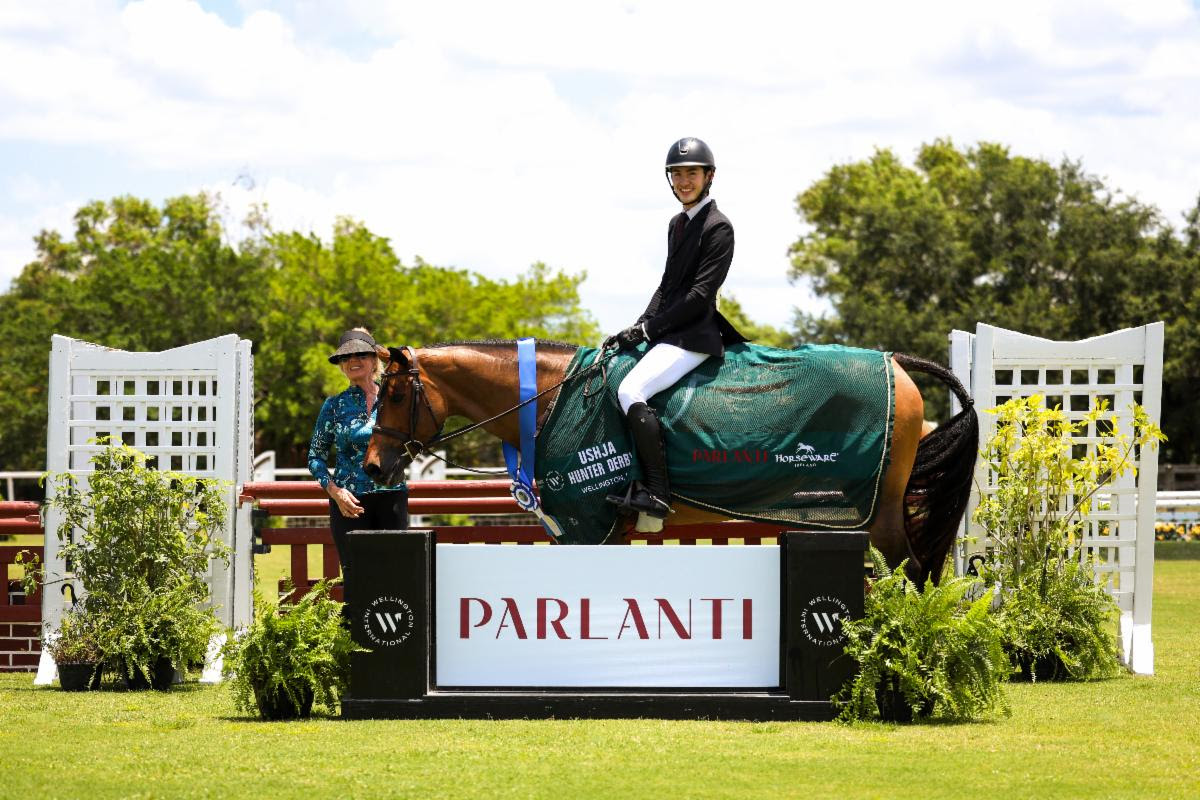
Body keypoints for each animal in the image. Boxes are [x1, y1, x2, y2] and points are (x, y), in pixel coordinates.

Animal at [363, 340, 977, 586]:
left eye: (391, 394)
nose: (370, 467)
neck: (551, 400)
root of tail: (896, 364)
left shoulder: (590, 526)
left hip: (879, 514)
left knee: (912, 570)